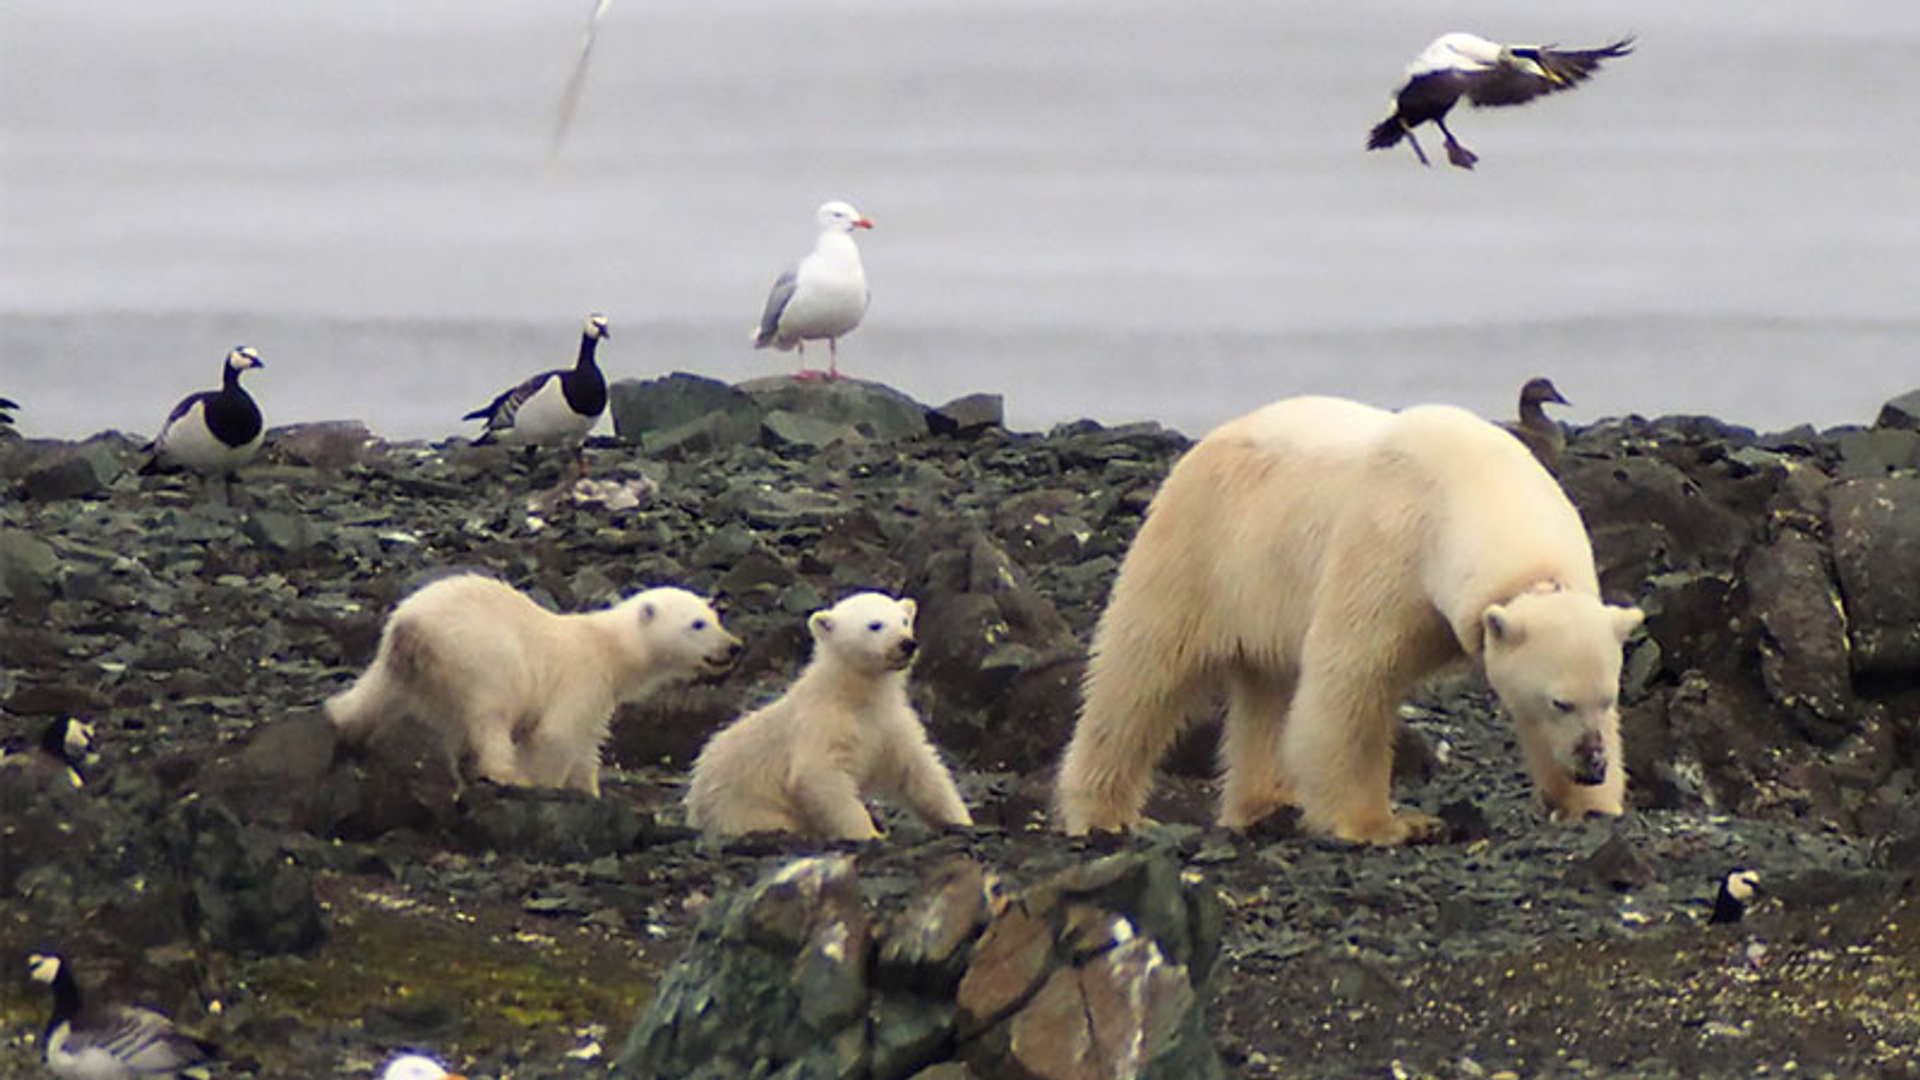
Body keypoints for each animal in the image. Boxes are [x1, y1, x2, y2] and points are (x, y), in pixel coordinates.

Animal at [1059, 395, 1643, 841]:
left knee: (1268, 690)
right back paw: (1103, 813)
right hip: (1201, 549)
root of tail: (1209, 441)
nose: (1593, 765)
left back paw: (1266, 803)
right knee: (1141, 675)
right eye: (1560, 701)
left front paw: (1590, 806)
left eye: (1606, 698)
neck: (1479, 489)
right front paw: (1385, 825)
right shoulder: (1385, 550)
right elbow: (1353, 681)